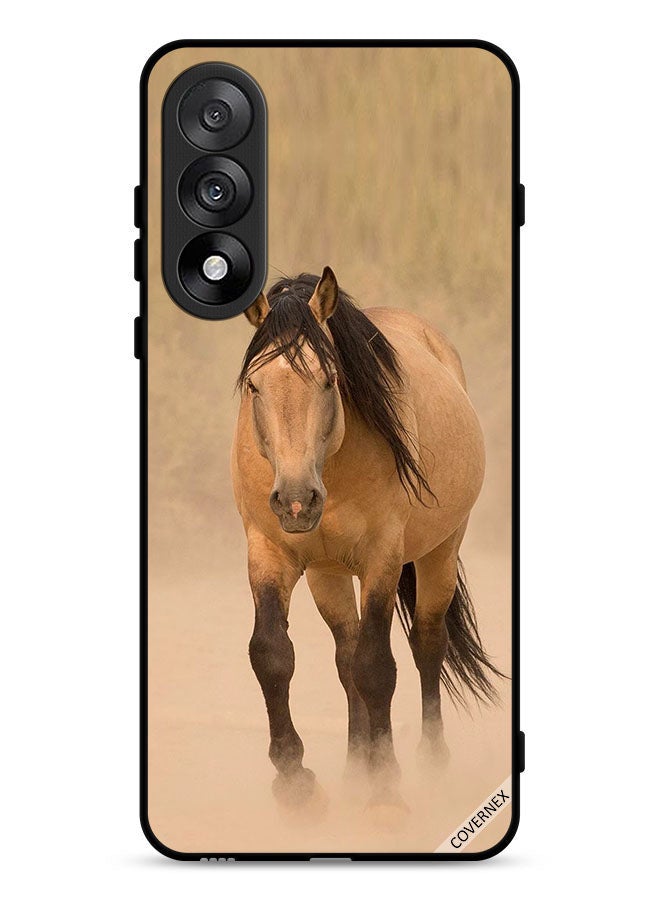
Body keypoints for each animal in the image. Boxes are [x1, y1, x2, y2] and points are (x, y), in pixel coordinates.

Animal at [231, 267, 501, 817]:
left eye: (330, 379)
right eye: (254, 385)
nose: (296, 501)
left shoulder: (382, 560)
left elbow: (378, 667)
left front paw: (386, 789)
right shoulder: (269, 553)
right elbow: (272, 654)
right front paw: (295, 780)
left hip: (440, 552)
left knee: (425, 645)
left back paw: (429, 763)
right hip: (327, 574)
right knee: (345, 655)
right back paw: (357, 767)